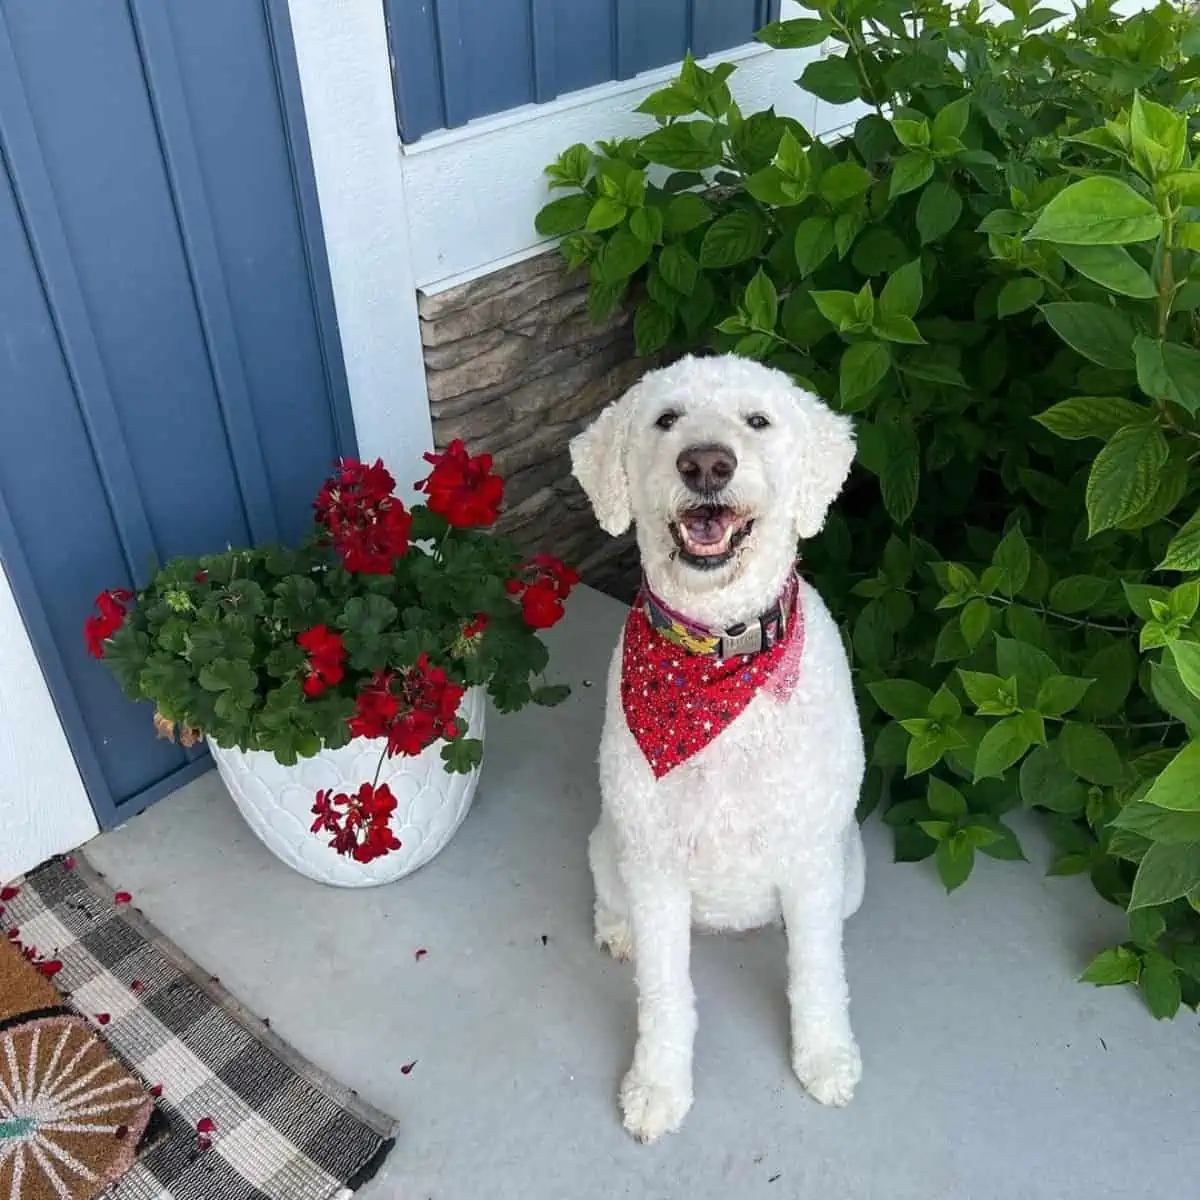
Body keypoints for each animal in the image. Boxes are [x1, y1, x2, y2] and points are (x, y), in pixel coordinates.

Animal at [568, 350, 864, 1137]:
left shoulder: (813, 860)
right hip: (609, 845)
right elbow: (664, 996)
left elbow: (818, 975)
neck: (716, 656)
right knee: (609, 898)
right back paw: (615, 930)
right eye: (666, 418)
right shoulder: (656, 869)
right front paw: (657, 1086)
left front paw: (825, 1058)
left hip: (850, 869)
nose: (706, 463)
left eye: (757, 420)